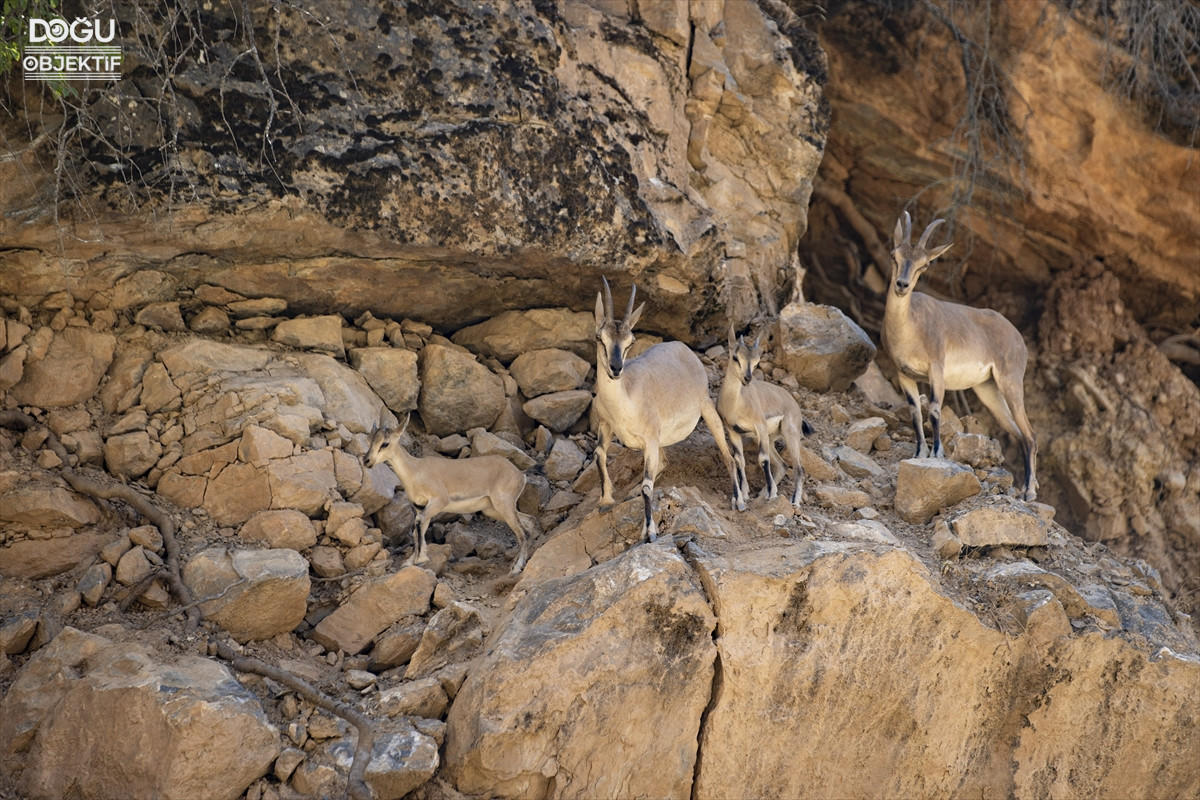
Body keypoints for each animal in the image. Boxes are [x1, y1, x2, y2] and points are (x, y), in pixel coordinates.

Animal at [364, 419, 530, 575]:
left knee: (522, 532)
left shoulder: (439, 501)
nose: (367, 461)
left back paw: (516, 569)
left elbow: (419, 523)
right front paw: (411, 561)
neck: (416, 470)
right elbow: (418, 529)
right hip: (493, 509)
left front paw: (420, 560)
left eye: (385, 443)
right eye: (369, 440)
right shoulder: (420, 507)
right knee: (529, 522)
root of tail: (520, 475)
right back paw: (515, 564)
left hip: (504, 504)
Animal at [592, 277, 739, 544]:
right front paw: (606, 500)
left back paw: (738, 501)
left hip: (707, 410)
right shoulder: (606, 425)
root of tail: (684, 349)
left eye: (631, 342)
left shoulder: (650, 439)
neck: (626, 397)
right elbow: (599, 453)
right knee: (663, 463)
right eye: (600, 337)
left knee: (728, 456)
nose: (615, 368)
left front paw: (649, 532)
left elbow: (647, 486)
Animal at [715, 328, 811, 510]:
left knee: (799, 468)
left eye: (756, 362)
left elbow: (763, 460)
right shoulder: (733, 432)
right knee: (783, 465)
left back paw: (794, 501)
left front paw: (771, 495)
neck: (736, 403)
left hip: (789, 434)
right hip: (769, 438)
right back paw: (764, 492)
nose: (747, 378)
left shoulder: (759, 427)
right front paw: (744, 496)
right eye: (736, 357)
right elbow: (740, 460)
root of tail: (793, 404)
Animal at [883, 212, 1041, 501]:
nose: (902, 285)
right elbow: (914, 411)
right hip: (988, 389)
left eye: (924, 265)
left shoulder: (936, 368)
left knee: (1031, 434)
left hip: (1010, 381)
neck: (910, 326)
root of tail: (1018, 338)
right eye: (893, 255)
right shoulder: (904, 374)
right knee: (1018, 434)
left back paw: (1029, 492)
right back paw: (1028, 487)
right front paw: (919, 452)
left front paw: (937, 454)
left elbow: (934, 408)